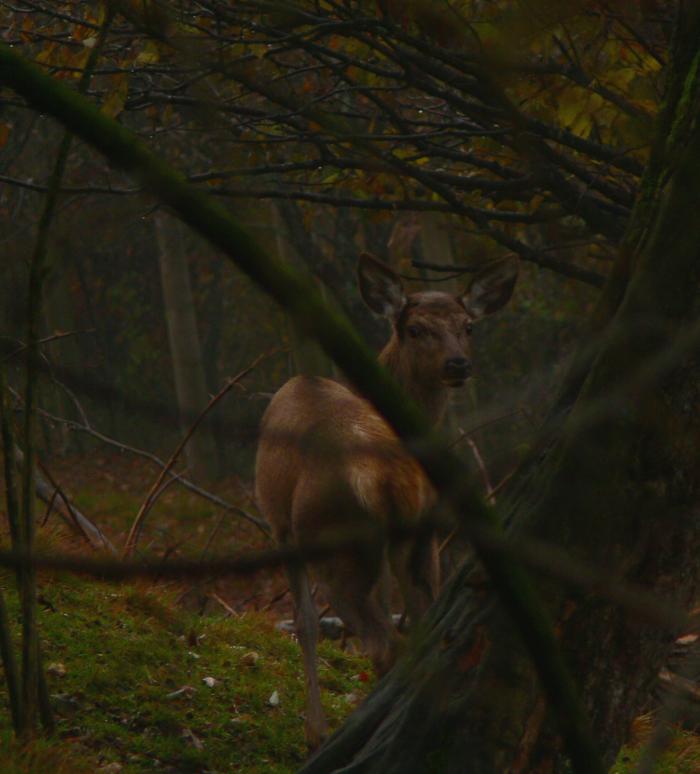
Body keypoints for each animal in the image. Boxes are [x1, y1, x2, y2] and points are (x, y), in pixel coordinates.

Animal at [254, 252, 516, 748]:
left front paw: (314, 731)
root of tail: (386, 477)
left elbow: (305, 622)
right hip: (417, 540)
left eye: (468, 326)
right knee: (422, 635)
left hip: (337, 540)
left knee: (384, 645)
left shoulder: (279, 525)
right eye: (415, 328)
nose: (458, 363)